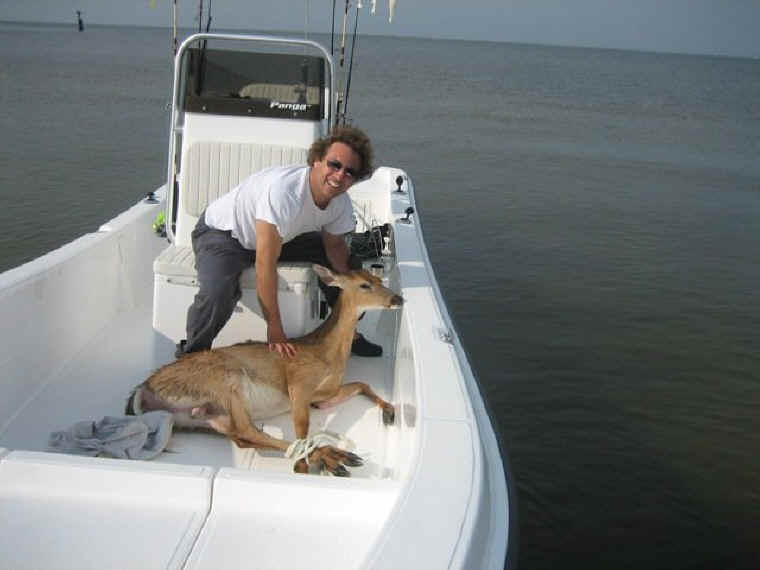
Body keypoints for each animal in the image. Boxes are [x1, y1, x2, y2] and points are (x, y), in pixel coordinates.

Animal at [126, 264, 403, 476]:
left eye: (378, 279)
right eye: (364, 285)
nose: (398, 298)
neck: (327, 352)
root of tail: (143, 390)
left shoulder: (323, 396)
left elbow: (361, 384)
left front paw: (390, 411)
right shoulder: (298, 382)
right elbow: (302, 425)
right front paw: (303, 467)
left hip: (205, 416)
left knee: (243, 437)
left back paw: (334, 457)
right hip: (225, 382)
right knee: (247, 430)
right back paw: (332, 458)